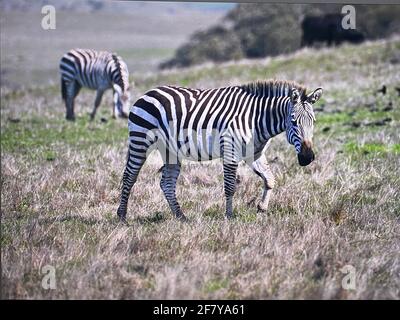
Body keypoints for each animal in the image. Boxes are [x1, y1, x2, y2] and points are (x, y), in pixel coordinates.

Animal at [117, 79, 324, 221]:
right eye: (294, 122)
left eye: (313, 122)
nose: (307, 157)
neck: (256, 119)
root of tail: (148, 93)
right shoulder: (231, 149)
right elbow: (230, 186)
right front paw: (229, 216)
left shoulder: (254, 153)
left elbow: (270, 179)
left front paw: (262, 208)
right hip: (140, 139)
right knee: (129, 176)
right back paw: (122, 216)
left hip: (170, 150)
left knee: (166, 184)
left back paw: (181, 217)